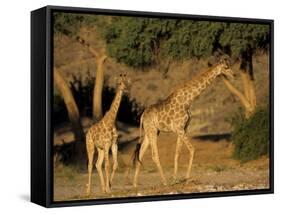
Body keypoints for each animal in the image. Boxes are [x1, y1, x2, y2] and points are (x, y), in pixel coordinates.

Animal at [132, 57, 233, 188]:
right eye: (226, 67)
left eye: (229, 65)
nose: (234, 75)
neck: (188, 101)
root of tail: (142, 116)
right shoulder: (180, 129)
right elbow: (192, 149)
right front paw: (187, 177)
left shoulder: (183, 129)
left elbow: (177, 153)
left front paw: (175, 178)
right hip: (152, 131)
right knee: (154, 155)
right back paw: (164, 182)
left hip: (150, 132)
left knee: (140, 152)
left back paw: (135, 183)